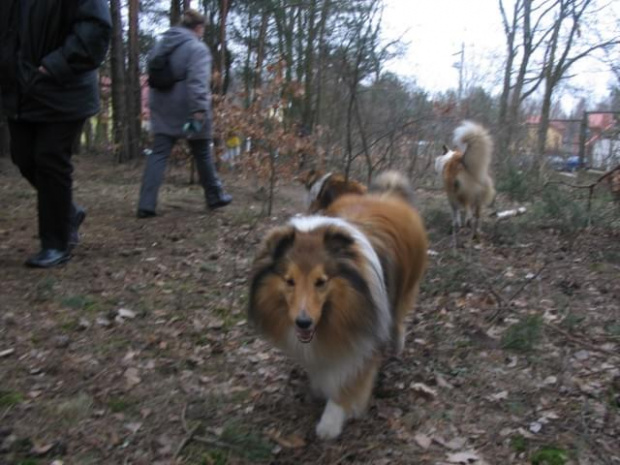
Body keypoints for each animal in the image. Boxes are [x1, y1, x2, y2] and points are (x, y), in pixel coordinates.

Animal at [247, 171, 426, 438]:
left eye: (321, 281)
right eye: (289, 281)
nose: (302, 322)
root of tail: (389, 193)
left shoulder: (366, 340)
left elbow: (350, 381)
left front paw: (330, 422)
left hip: (406, 287)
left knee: (399, 316)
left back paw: (397, 342)